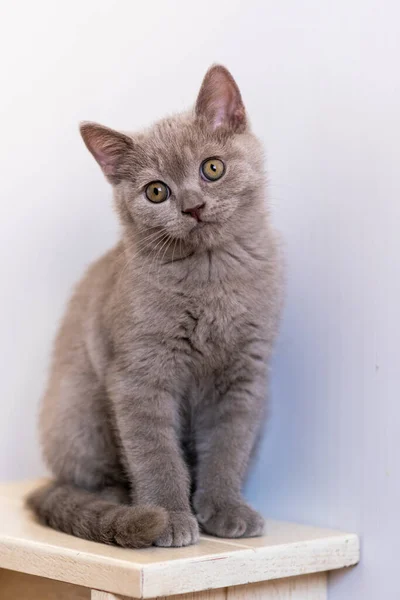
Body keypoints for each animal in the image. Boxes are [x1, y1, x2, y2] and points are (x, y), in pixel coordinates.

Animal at [27, 65, 284, 548]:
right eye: (157, 192)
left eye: (212, 168)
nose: (194, 206)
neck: (210, 275)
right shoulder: (140, 374)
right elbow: (155, 453)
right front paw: (169, 516)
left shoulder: (244, 372)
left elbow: (228, 447)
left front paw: (225, 509)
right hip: (79, 408)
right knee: (87, 479)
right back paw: (122, 505)